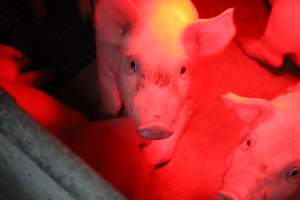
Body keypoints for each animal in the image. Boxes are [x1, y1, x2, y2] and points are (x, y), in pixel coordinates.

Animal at [95, 0, 236, 166]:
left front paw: (189, 106)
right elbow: (111, 102)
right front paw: (105, 116)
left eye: (183, 70)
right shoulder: (103, 59)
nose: (156, 126)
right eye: (132, 64)